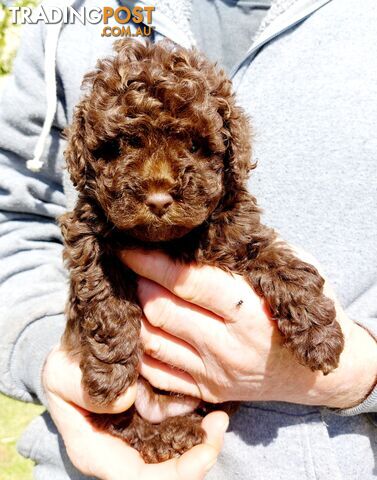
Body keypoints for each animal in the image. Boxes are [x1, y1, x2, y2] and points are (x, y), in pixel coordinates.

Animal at [58, 40, 344, 462]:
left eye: (194, 145)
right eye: (121, 145)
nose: (158, 200)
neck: (170, 239)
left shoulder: (238, 232)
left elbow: (281, 262)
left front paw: (319, 335)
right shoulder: (88, 237)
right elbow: (105, 298)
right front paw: (109, 373)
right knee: (125, 423)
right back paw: (167, 435)